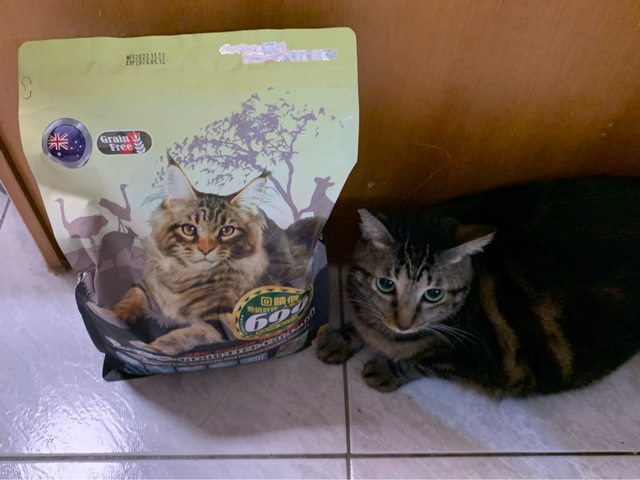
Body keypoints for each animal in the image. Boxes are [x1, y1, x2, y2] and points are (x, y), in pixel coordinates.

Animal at [103, 155, 323, 356]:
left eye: (226, 231)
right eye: (189, 229)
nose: (205, 249)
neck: (182, 277)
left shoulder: (220, 323)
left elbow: (188, 334)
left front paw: (153, 347)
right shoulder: (145, 285)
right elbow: (130, 299)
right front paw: (110, 315)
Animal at [317, 176, 640, 396]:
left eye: (434, 294)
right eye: (386, 284)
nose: (404, 324)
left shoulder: (475, 357)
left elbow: (421, 362)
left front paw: (387, 368)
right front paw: (342, 337)